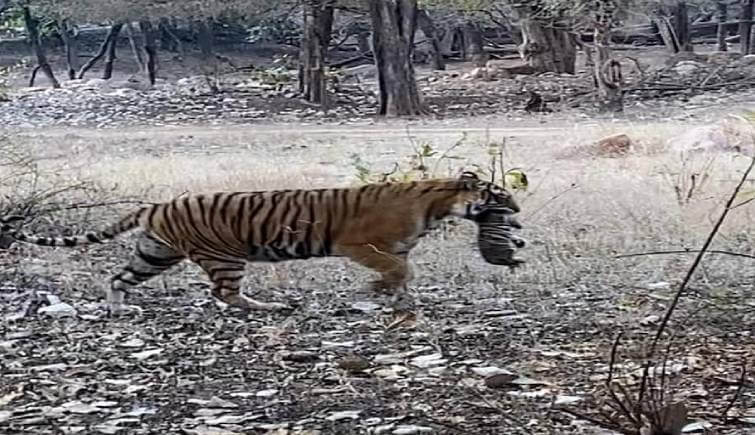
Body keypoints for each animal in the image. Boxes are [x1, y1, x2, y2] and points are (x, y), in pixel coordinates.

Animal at [0, 172, 520, 318]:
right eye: (499, 194)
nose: (516, 206)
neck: (438, 204)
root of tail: (156, 205)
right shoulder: (362, 244)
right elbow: (399, 271)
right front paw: (377, 295)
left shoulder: (398, 248)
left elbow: (404, 274)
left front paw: (398, 301)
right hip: (223, 256)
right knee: (224, 293)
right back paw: (267, 306)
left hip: (155, 253)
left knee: (119, 276)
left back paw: (118, 307)